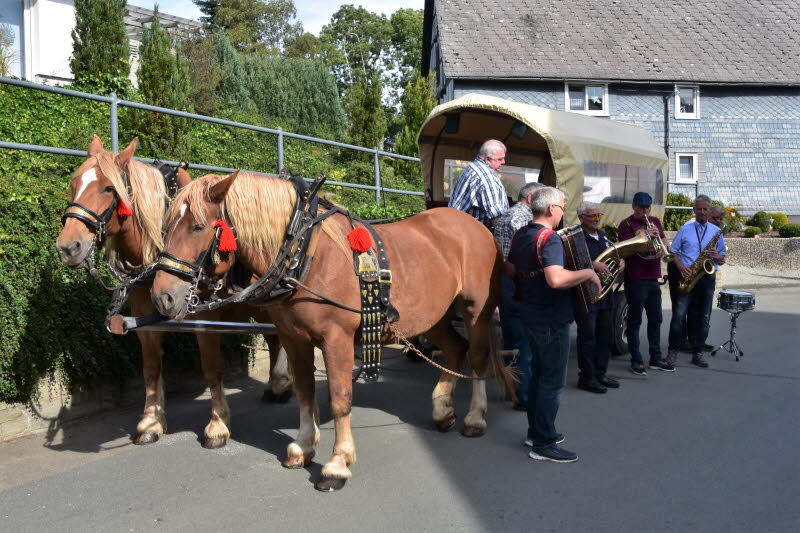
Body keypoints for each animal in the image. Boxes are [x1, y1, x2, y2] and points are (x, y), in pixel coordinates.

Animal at [56, 136, 294, 444]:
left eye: (108, 188)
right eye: (74, 184)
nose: (67, 247)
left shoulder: (205, 318)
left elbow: (212, 369)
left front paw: (217, 425)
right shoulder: (144, 317)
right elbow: (151, 369)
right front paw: (150, 422)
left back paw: (281, 385)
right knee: (275, 338)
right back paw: (278, 385)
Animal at [152, 170, 512, 490]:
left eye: (199, 226)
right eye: (166, 226)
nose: (162, 296)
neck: (303, 252)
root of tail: (474, 225)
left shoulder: (336, 339)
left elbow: (340, 399)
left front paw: (338, 464)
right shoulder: (293, 338)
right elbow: (304, 390)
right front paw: (302, 446)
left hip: (476, 311)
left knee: (477, 357)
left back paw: (475, 418)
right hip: (429, 316)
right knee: (454, 349)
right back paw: (442, 409)